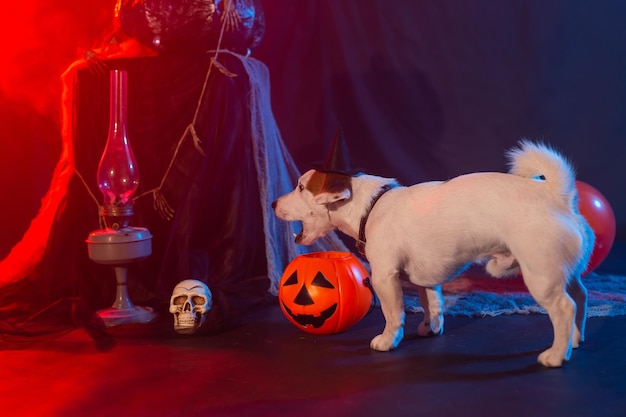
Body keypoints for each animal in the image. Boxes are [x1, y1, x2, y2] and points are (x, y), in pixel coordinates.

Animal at [272, 141, 588, 366]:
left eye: (300, 187)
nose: (273, 202)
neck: (371, 206)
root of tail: (557, 197)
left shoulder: (384, 278)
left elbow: (393, 314)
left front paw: (387, 340)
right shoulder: (425, 278)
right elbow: (431, 304)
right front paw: (430, 326)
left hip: (541, 277)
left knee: (564, 308)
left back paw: (556, 356)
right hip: (563, 275)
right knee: (580, 298)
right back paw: (574, 341)